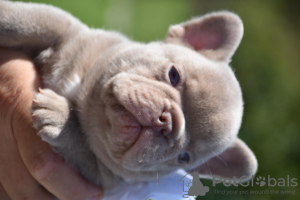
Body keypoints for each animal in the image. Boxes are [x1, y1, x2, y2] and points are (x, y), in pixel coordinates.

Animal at [0, 0, 258, 191]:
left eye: (184, 157)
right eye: (173, 75)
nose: (165, 122)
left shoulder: (97, 175)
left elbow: (80, 144)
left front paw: (59, 116)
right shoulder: (70, 31)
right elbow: (32, 21)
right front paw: (5, 15)